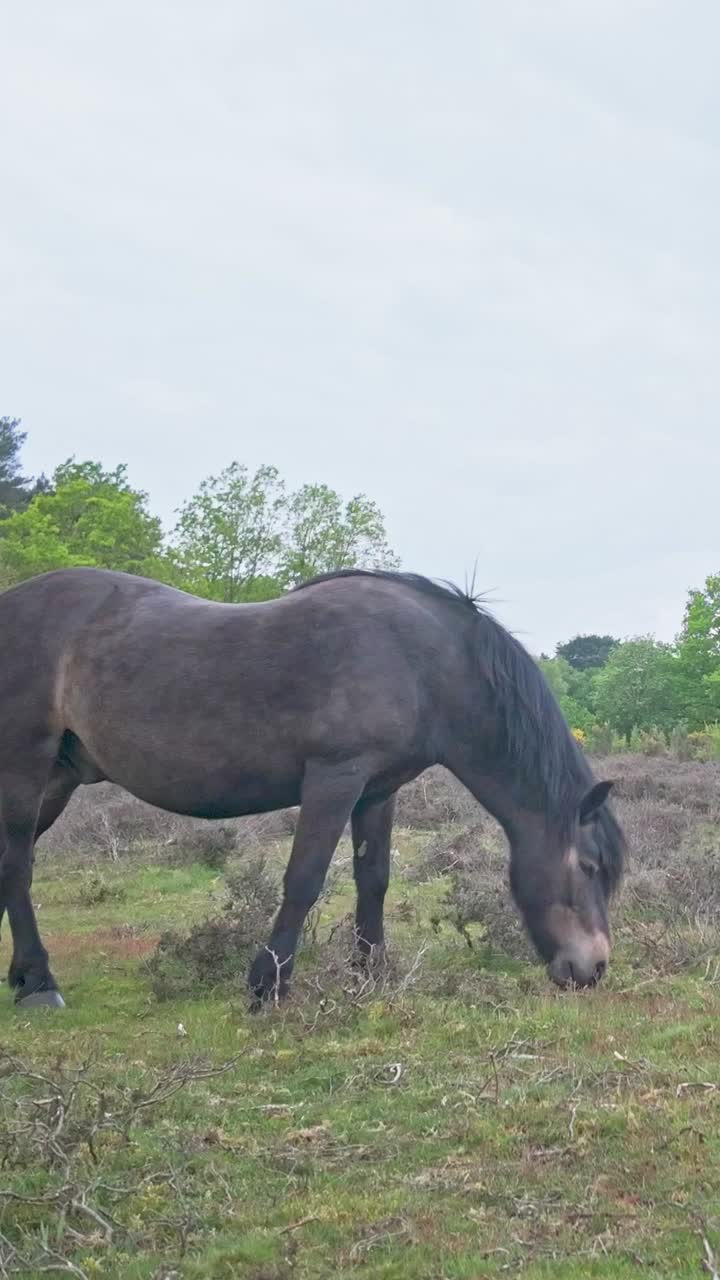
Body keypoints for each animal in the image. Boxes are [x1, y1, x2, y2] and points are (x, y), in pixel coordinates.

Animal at [0, 567, 625, 1009]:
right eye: (590, 867)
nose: (594, 969)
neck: (423, 663)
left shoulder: (377, 790)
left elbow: (374, 878)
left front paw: (370, 973)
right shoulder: (335, 777)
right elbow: (304, 879)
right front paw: (267, 986)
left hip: (59, 778)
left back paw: (20, 976)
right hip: (24, 764)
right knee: (17, 865)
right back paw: (40, 985)